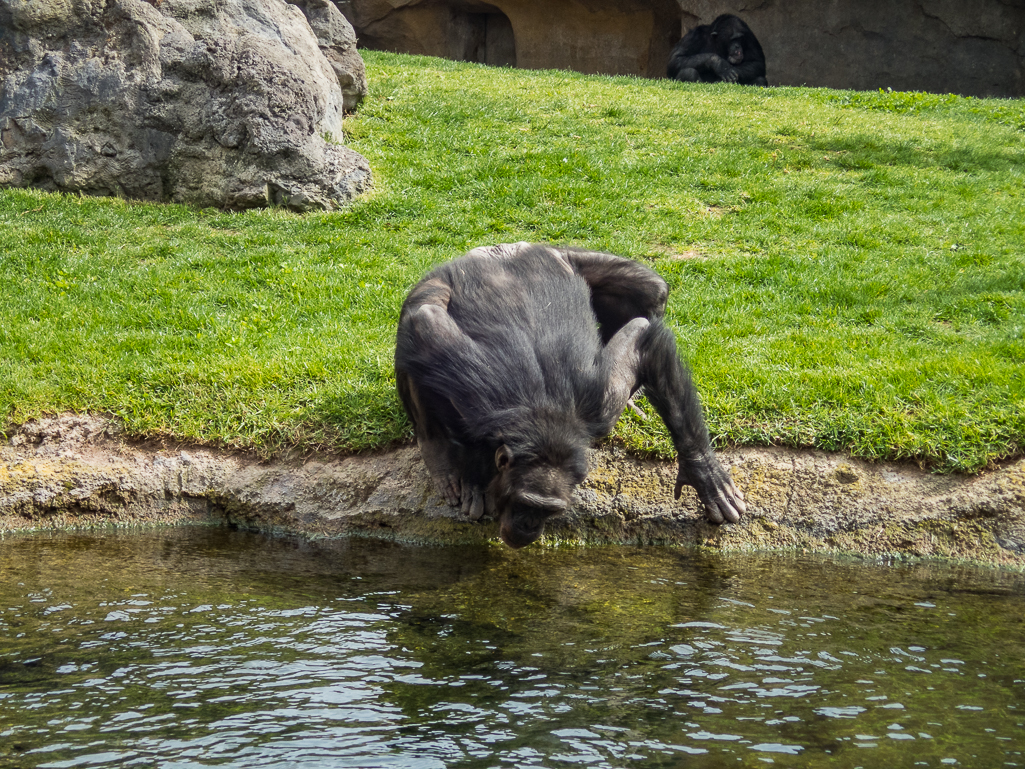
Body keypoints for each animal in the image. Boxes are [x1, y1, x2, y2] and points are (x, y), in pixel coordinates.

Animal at [393, 244, 746, 549]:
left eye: (549, 511)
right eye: (525, 502)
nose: (528, 527)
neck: (546, 415)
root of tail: (501, 250)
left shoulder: (602, 405)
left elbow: (646, 340)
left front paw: (705, 474)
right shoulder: (474, 390)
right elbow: (424, 327)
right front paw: (467, 472)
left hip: (566, 256)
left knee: (652, 288)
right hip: (439, 280)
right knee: (420, 311)